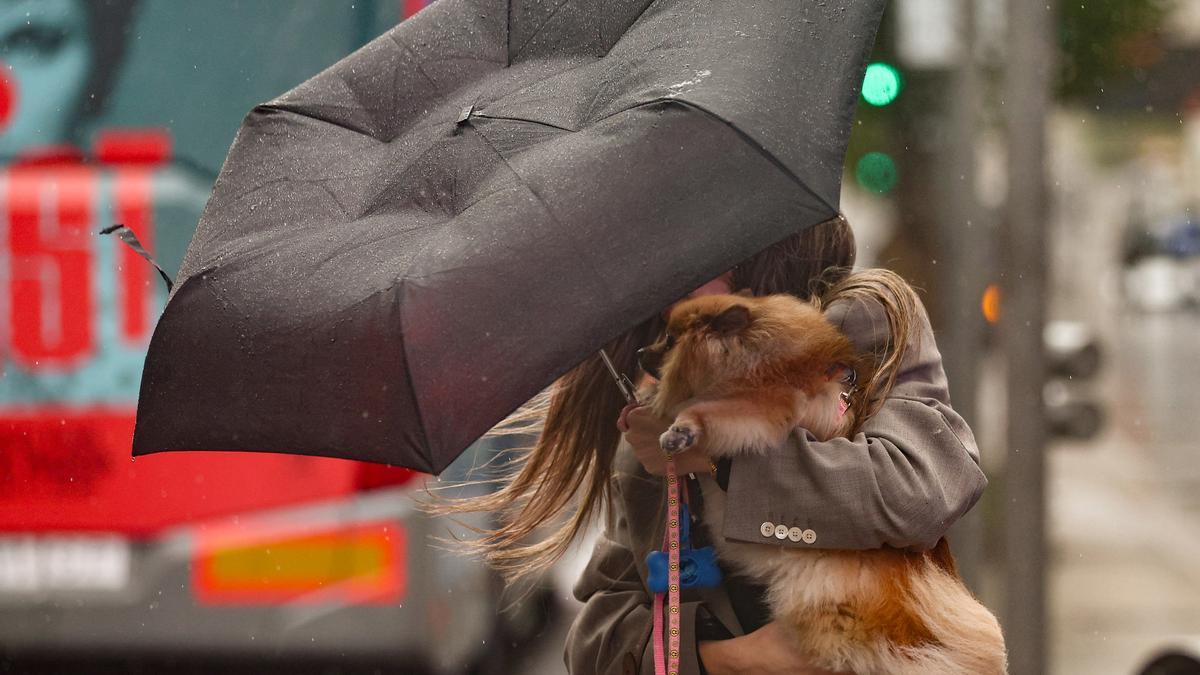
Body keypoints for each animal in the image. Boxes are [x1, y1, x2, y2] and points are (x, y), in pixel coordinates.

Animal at [638, 290, 1003, 672]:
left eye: (669, 339)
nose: (638, 352)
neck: (756, 355)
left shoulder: (767, 405)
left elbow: (710, 412)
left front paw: (682, 427)